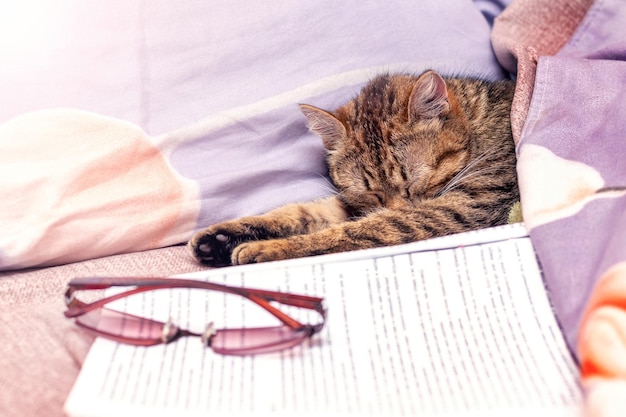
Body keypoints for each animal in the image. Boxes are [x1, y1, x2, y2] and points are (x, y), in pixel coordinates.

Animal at [189, 70, 516, 264]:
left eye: (412, 184)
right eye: (373, 195)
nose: (395, 206)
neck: (477, 127)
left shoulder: (463, 206)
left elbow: (355, 230)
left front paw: (267, 248)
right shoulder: (355, 204)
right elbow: (301, 213)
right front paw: (220, 237)